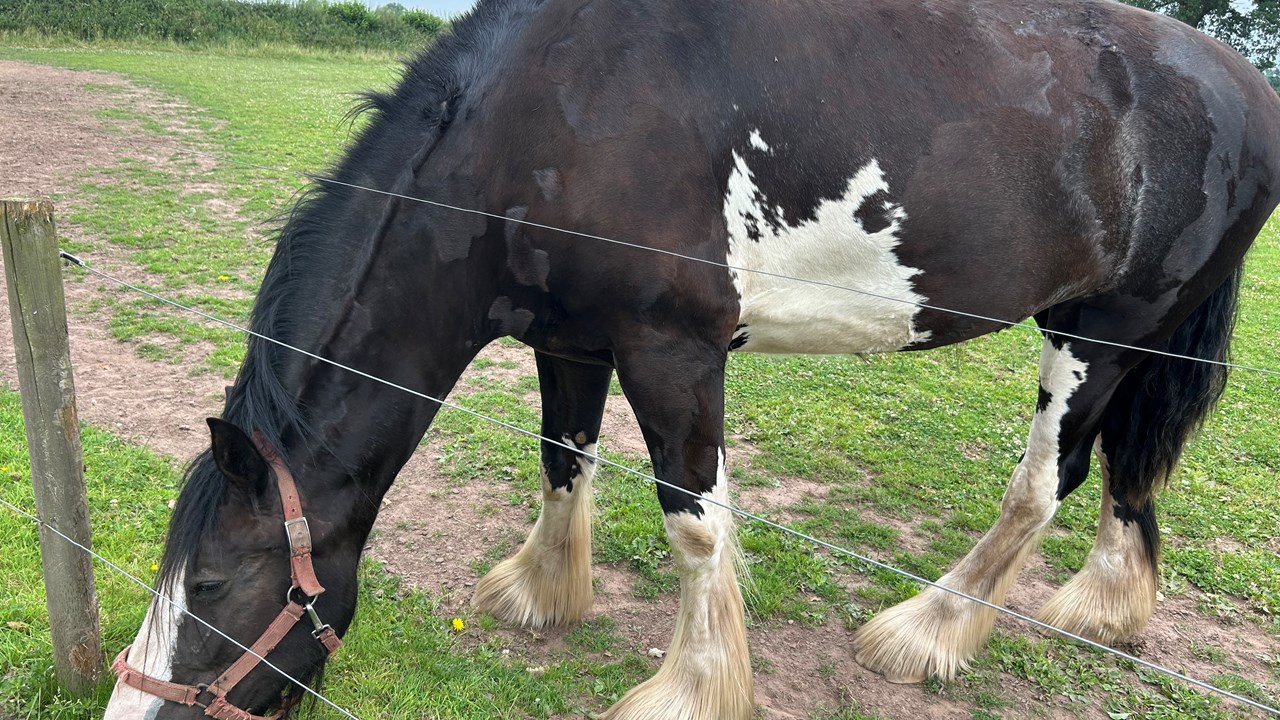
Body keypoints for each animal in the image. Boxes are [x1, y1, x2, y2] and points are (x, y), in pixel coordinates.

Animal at [102, 0, 1280, 718]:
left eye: (212, 585)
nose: (126, 706)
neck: (551, 120)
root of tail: (1243, 86)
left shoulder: (672, 352)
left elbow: (693, 522)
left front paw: (691, 687)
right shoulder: (569, 340)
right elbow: (562, 459)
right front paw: (540, 592)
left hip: (1101, 332)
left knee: (1046, 482)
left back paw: (928, 631)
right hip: (1127, 330)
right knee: (1128, 464)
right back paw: (1105, 607)